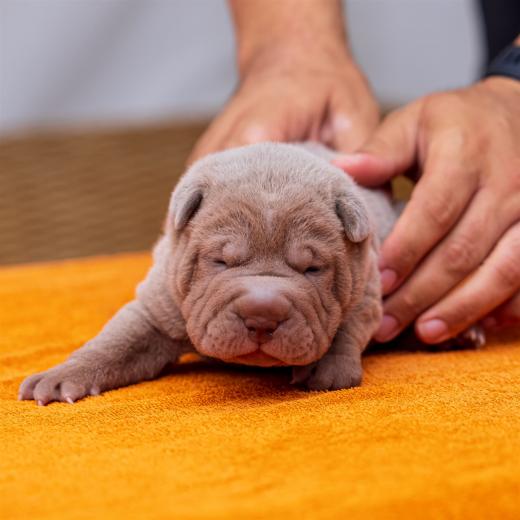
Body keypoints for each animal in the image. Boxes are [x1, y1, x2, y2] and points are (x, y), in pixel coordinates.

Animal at [18, 142, 482, 405]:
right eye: (221, 262)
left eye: (312, 268)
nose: (263, 315)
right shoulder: (158, 303)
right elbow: (117, 342)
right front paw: (62, 378)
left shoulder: (367, 284)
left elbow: (348, 326)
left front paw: (328, 371)